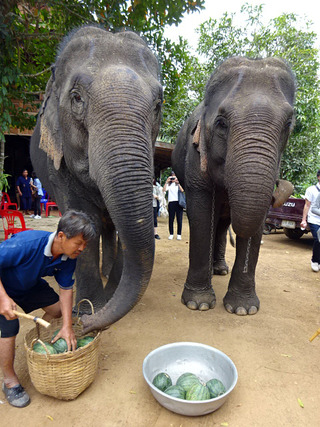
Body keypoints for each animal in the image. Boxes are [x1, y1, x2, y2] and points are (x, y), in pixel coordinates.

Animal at [29, 25, 162, 334]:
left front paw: (96, 303)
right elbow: (83, 216)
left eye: (158, 106)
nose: (84, 324)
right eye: (77, 98)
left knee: (111, 224)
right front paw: (89, 306)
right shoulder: (57, 162)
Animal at [172, 56, 296, 316]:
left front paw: (243, 310)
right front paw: (198, 304)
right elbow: (201, 214)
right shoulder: (195, 156)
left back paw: (219, 270)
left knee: (221, 224)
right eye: (221, 123)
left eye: (288, 124)